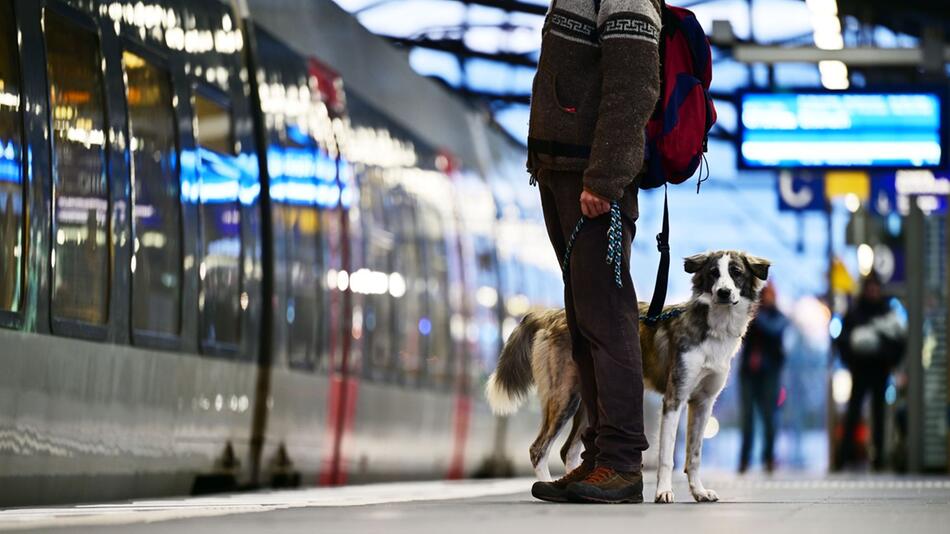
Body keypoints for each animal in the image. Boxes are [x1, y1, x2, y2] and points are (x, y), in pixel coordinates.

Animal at [488, 250, 768, 502]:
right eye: (713, 273)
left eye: (736, 272)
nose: (723, 293)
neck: (714, 328)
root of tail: (550, 315)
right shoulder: (674, 398)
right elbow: (667, 456)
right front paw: (663, 492)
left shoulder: (703, 403)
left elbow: (695, 455)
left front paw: (699, 492)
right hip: (563, 396)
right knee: (538, 449)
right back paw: (547, 485)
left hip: (588, 400)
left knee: (569, 450)